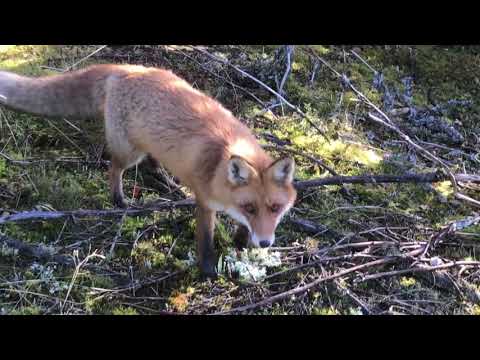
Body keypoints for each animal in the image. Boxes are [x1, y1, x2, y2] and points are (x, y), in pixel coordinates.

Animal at [0, 64, 296, 278]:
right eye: (250, 207)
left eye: (274, 208)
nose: (265, 244)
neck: (220, 162)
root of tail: (125, 68)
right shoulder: (205, 203)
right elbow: (205, 242)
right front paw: (208, 272)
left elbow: (242, 229)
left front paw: (241, 242)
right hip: (129, 153)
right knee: (114, 168)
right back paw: (119, 200)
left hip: (152, 144)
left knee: (153, 163)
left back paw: (168, 183)